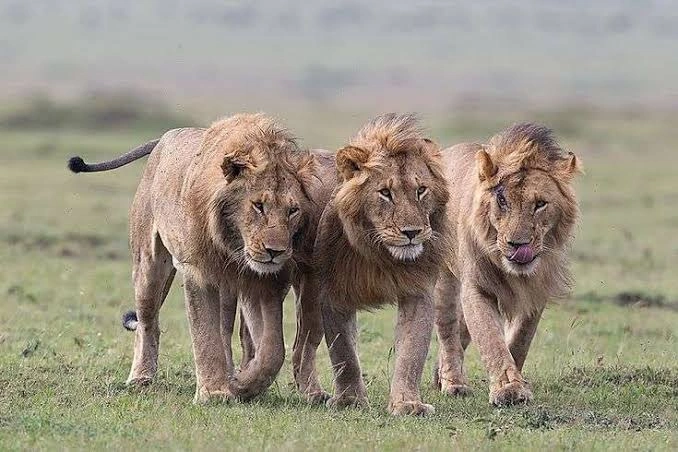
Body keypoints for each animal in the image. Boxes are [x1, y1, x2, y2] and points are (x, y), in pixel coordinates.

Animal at [68, 113, 336, 403]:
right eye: (258, 205)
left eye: (292, 210)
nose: (275, 251)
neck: (233, 243)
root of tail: (165, 137)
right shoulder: (198, 271)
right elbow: (205, 334)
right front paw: (214, 392)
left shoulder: (264, 282)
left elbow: (272, 350)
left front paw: (243, 384)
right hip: (149, 263)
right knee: (148, 321)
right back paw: (141, 378)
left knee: (228, 330)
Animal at [314, 113, 450, 416]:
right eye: (385, 193)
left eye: (421, 190)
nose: (412, 232)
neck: (381, 256)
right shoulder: (332, 294)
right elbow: (343, 353)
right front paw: (350, 400)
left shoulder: (418, 291)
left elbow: (411, 354)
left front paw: (407, 403)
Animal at [432, 123, 582, 406]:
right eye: (502, 201)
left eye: (540, 204)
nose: (517, 244)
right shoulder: (476, 287)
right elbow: (490, 338)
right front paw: (508, 389)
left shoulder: (537, 290)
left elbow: (520, 340)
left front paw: (517, 382)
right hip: (445, 276)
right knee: (448, 330)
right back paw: (453, 383)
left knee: (462, 331)